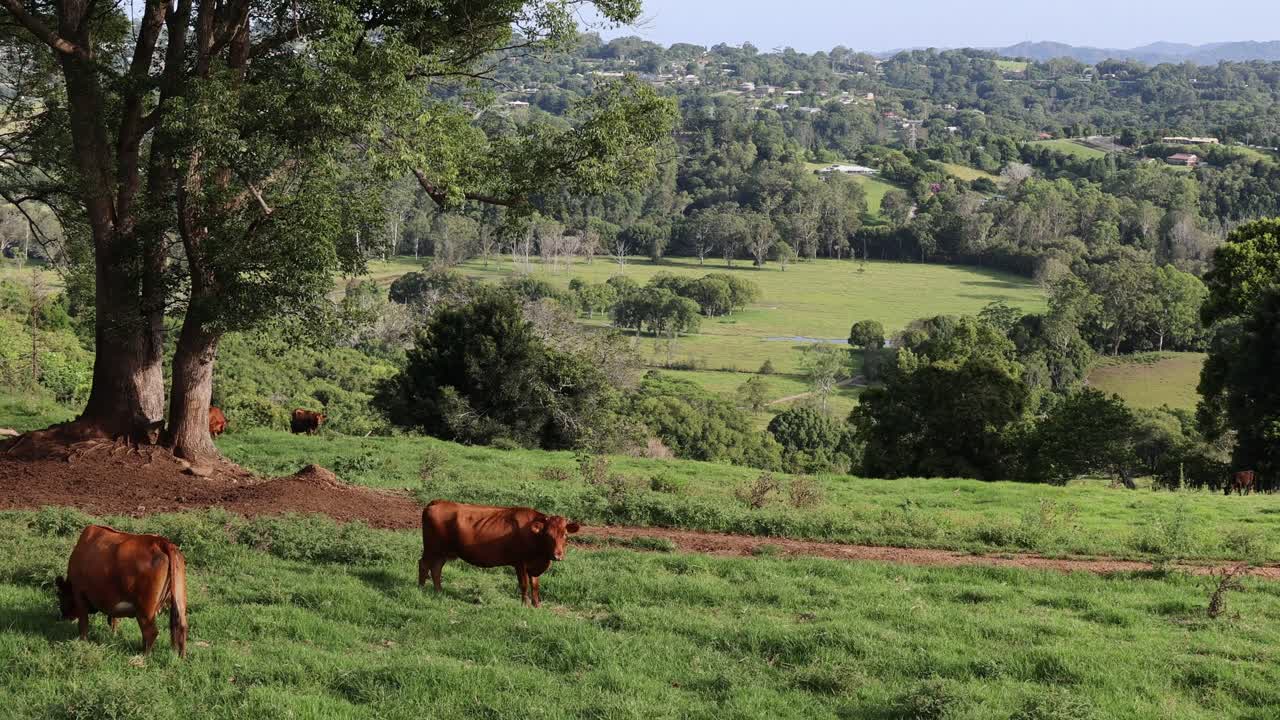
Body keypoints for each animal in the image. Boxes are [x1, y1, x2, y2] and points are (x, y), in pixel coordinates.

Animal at [55, 525, 188, 657]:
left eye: (59, 594)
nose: (63, 616)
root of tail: (161, 542)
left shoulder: (80, 594)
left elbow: (83, 623)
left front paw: (83, 642)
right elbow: (113, 620)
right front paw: (113, 635)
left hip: (144, 609)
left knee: (150, 632)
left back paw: (143, 656)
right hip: (179, 598)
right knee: (180, 625)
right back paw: (181, 657)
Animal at [419, 500, 580, 608]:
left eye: (565, 535)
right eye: (547, 535)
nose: (557, 555)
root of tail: (438, 502)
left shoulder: (533, 566)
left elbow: (535, 585)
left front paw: (537, 605)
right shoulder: (520, 563)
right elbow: (524, 584)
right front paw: (525, 604)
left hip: (442, 553)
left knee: (436, 569)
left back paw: (439, 591)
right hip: (432, 549)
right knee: (424, 564)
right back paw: (420, 588)